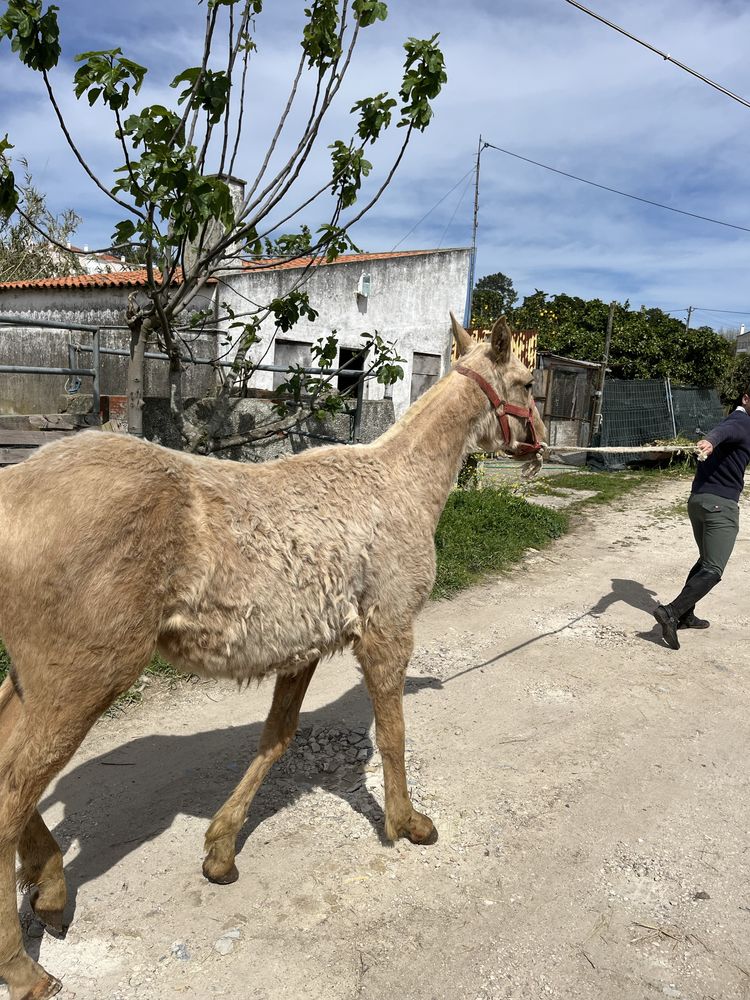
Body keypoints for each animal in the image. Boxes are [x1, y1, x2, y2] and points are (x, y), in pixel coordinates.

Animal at [0, 314, 544, 1000]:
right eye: (527, 383)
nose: (540, 445)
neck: (401, 486)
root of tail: (13, 489)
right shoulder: (388, 631)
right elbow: (392, 733)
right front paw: (407, 823)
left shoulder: (302, 648)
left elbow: (276, 738)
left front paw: (221, 850)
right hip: (81, 681)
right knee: (9, 797)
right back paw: (23, 965)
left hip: (31, 681)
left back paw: (48, 888)